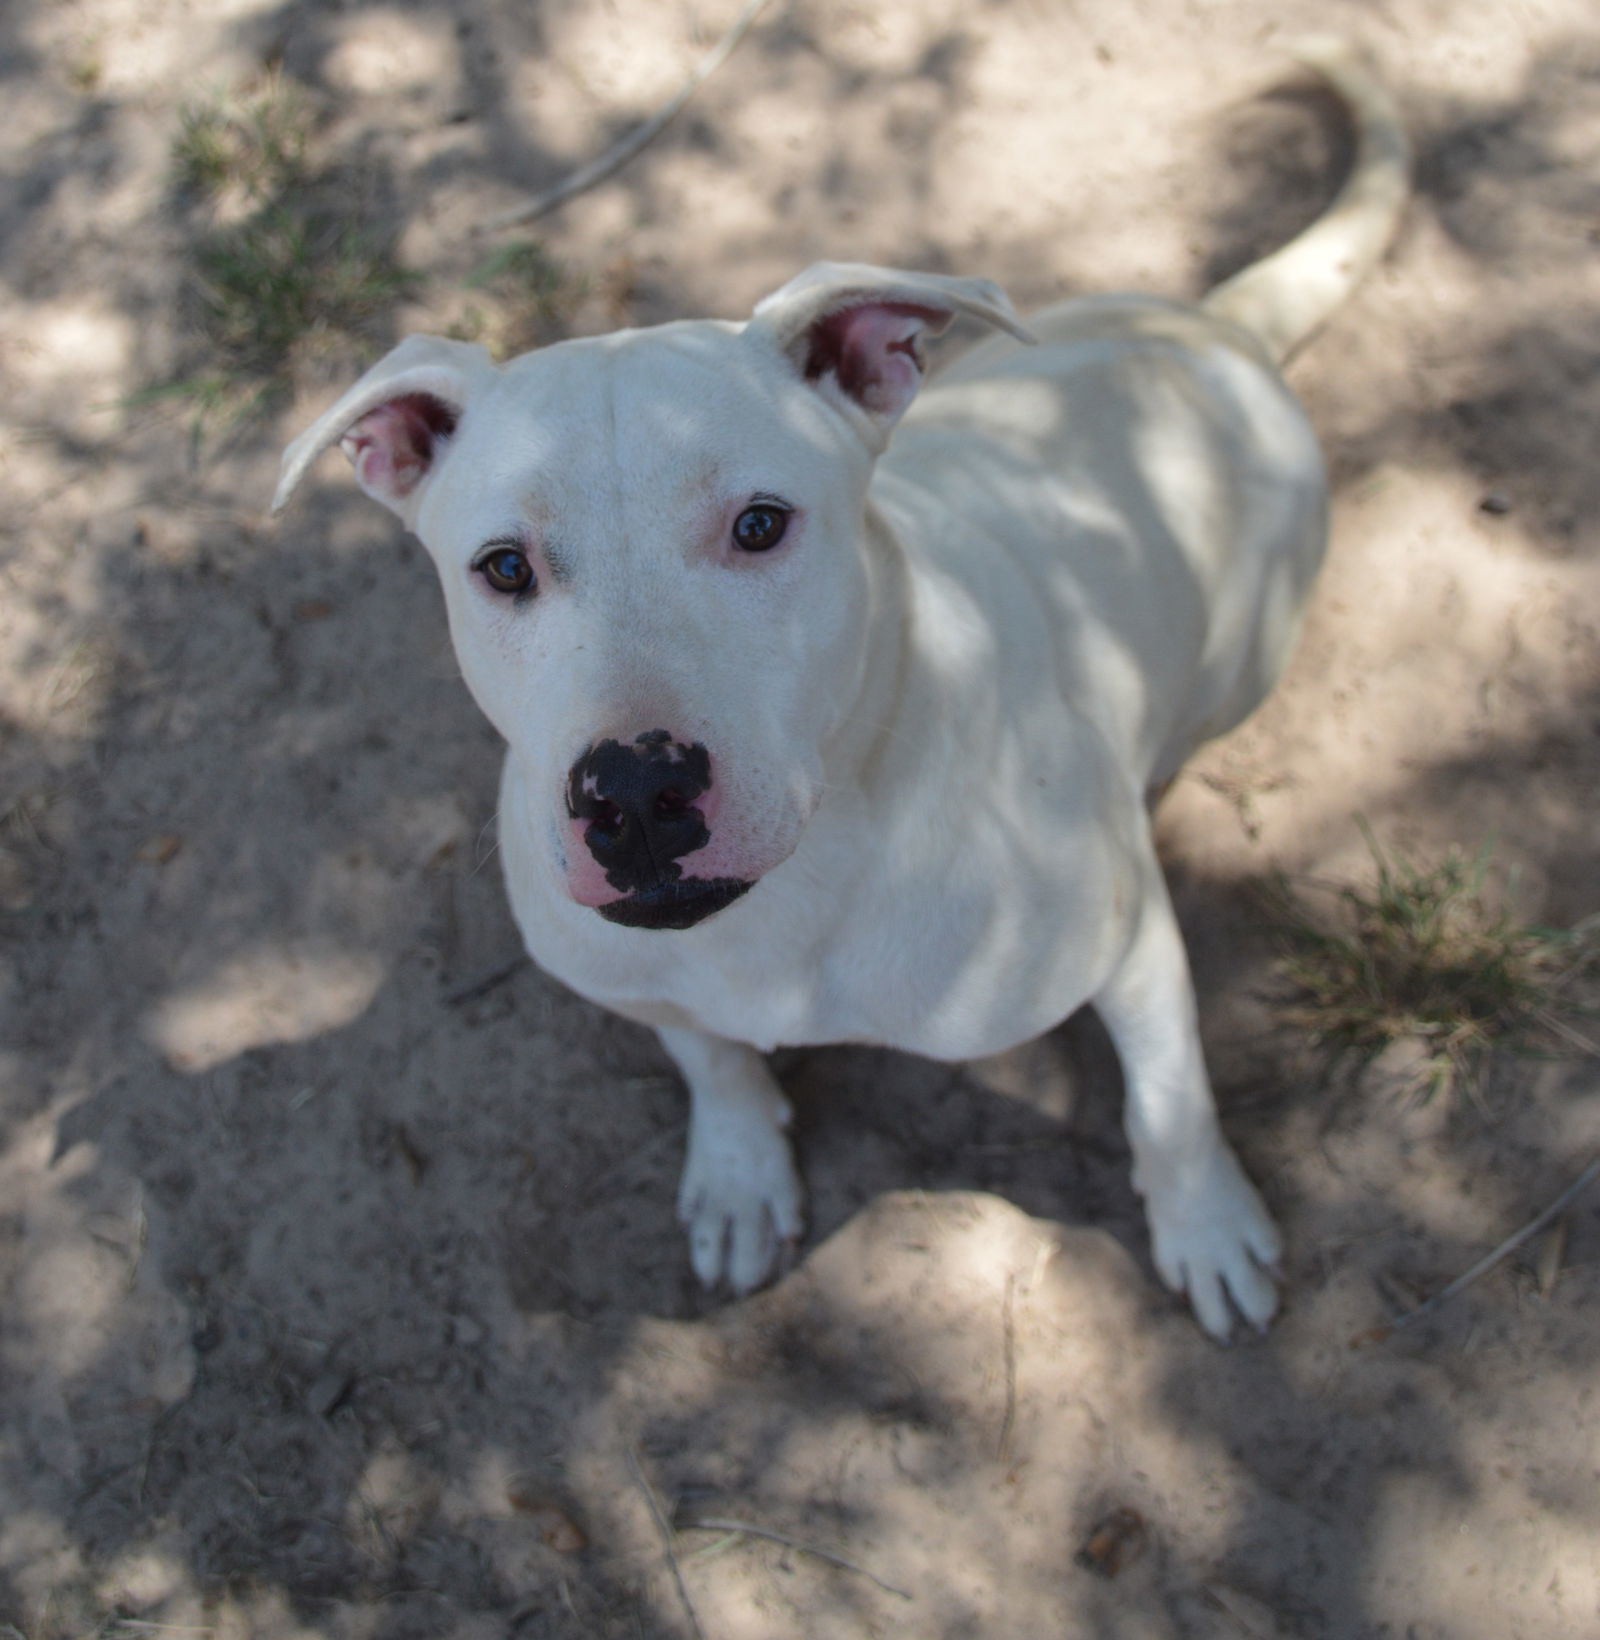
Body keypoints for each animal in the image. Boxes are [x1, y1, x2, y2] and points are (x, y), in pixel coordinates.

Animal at [281, 44, 1403, 1338]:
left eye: (761, 524)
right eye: (503, 567)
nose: (634, 791)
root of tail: (1213, 326)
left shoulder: (1122, 944)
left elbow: (1166, 1091)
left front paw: (1206, 1222)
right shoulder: (643, 980)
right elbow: (710, 1054)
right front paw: (737, 1168)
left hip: (1242, 646)